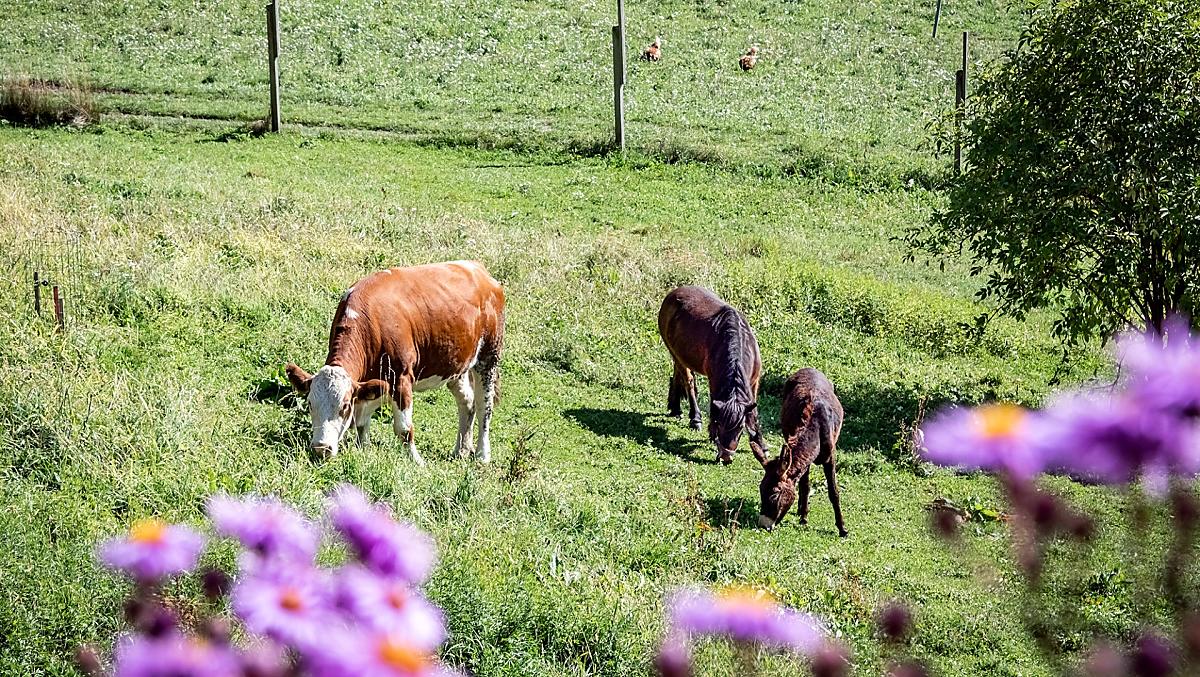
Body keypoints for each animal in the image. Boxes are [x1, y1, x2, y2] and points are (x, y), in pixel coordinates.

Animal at [285, 261, 505, 465]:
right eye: (310, 403)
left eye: (344, 406)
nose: (321, 448)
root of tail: (477, 268)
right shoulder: (370, 383)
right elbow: (361, 422)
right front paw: (363, 451)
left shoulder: (401, 378)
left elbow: (404, 429)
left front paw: (417, 462)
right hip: (456, 365)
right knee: (467, 401)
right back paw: (461, 450)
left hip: (488, 357)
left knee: (484, 406)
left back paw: (482, 455)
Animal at [657, 286, 767, 465]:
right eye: (720, 424)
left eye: (740, 428)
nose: (725, 457)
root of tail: (673, 293)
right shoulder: (715, 382)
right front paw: (710, 432)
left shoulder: (754, 382)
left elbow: (754, 412)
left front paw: (760, 443)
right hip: (676, 354)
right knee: (688, 382)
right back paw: (695, 418)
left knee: (677, 374)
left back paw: (676, 408)